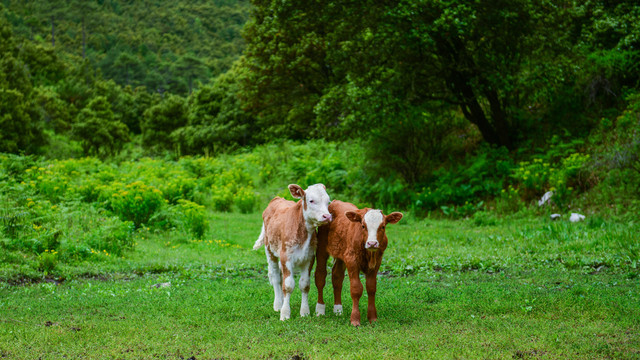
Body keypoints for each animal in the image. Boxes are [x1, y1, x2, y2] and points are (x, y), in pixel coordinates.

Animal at [252, 184, 332, 320]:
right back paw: (278, 304)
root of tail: (278, 199)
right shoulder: (286, 257)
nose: (327, 216)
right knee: (276, 277)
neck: (303, 234)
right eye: (311, 200)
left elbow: (304, 285)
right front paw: (285, 313)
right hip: (270, 250)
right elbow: (288, 285)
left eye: (328, 201)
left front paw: (304, 312)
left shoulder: (309, 258)